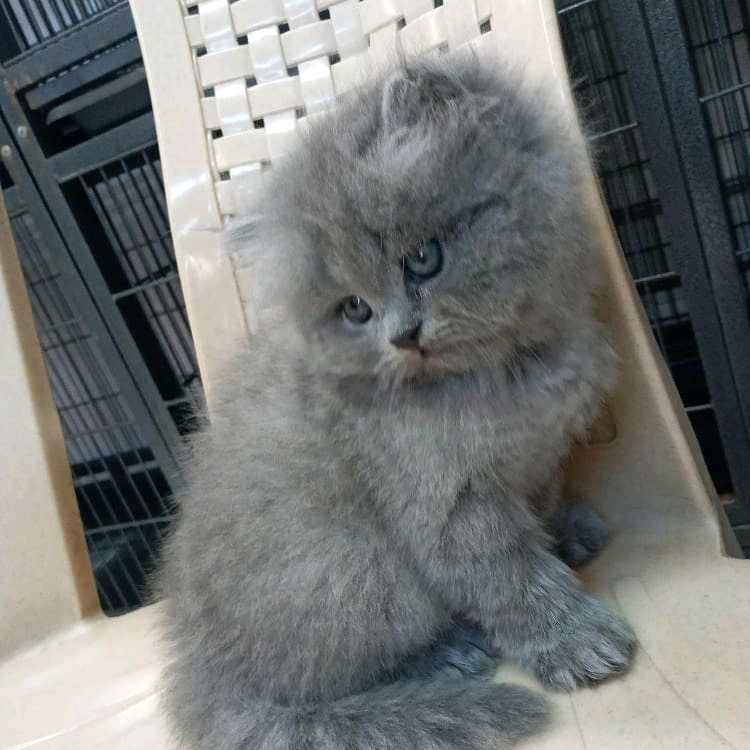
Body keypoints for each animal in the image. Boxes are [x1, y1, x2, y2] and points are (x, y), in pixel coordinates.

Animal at [159, 54, 636, 750]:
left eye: (423, 258)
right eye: (355, 308)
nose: (402, 335)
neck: (504, 373)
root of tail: (201, 667)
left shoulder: (540, 460)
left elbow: (540, 512)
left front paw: (565, 533)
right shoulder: (448, 502)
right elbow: (511, 577)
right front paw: (574, 640)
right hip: (353, 569)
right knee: (330, 678)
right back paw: (447, 656)